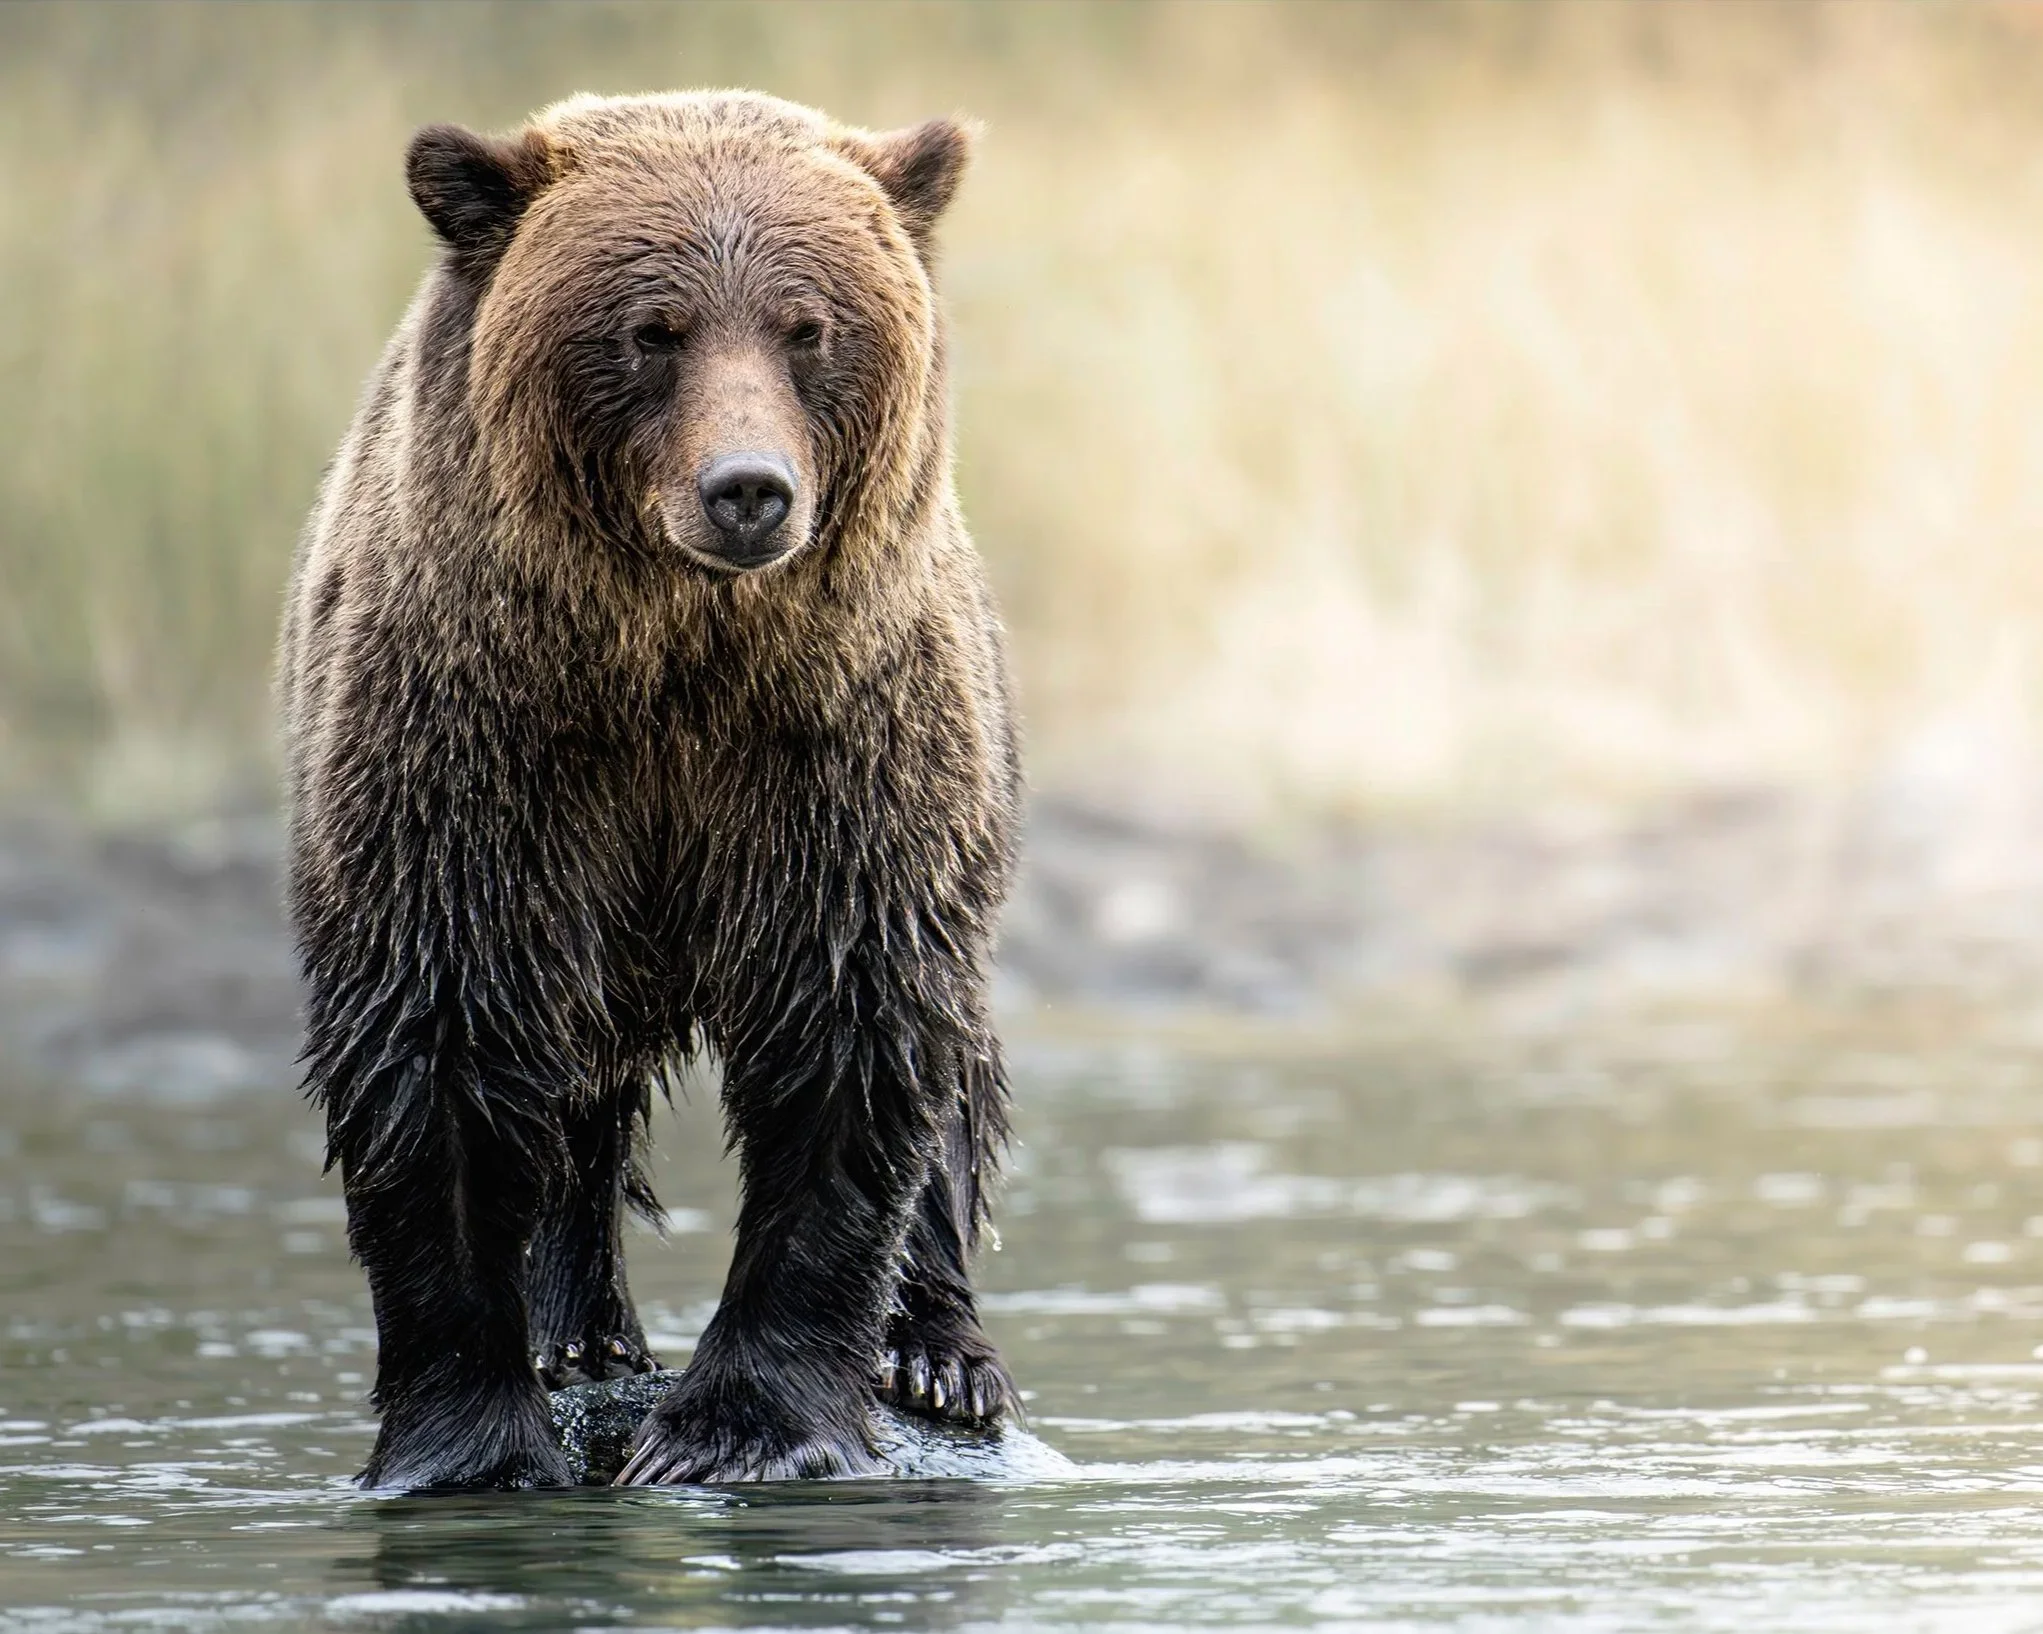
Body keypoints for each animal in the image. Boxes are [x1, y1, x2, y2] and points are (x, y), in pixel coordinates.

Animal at [276, 90, 1020, 1489]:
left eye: (807, 326)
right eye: (651, 330)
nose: (749, 489)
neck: (669, 662)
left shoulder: (833, 746)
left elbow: (853, 1029)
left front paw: (742, 1427)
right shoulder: (477, 744)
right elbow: (439, 1028)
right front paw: (471, 1440)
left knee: (954, 1061)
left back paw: (940, 1351)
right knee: (572, 1084)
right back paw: (580, 1332)